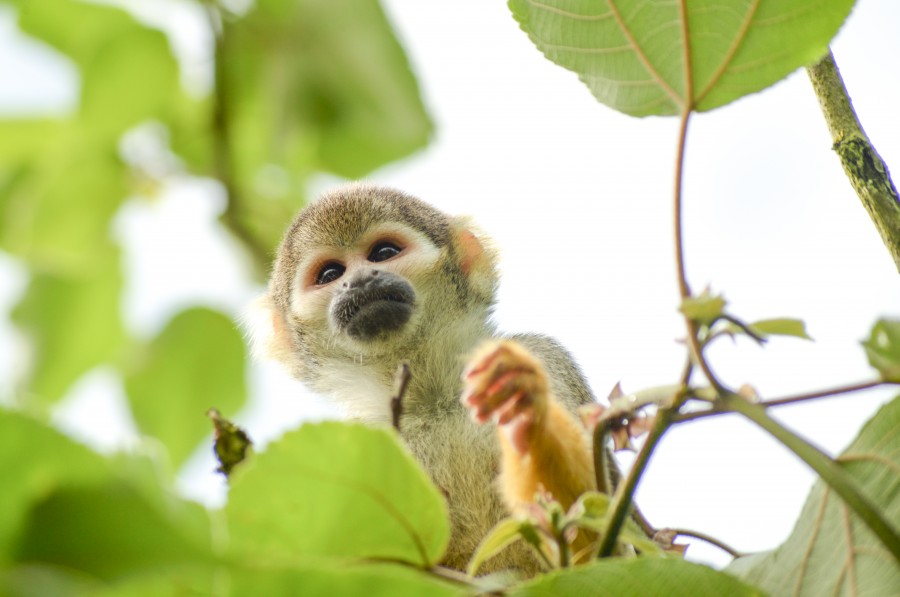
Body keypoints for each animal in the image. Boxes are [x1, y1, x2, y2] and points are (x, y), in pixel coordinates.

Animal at [250, 183, 600, 573]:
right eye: (330, 274)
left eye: (383, 253)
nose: (359, 280)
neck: (431, 397)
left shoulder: (543, 354)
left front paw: (525, 409)